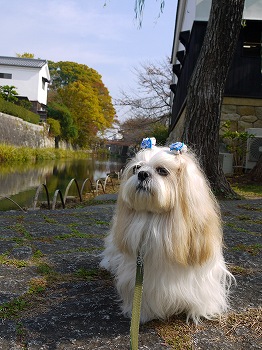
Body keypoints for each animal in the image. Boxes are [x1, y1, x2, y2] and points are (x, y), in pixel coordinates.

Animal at [100, 139, 233, 322]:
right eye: (136, 168)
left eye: (162, 171)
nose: (142, 174)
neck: (154, 219)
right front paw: (142, 314)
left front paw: (200, 311)